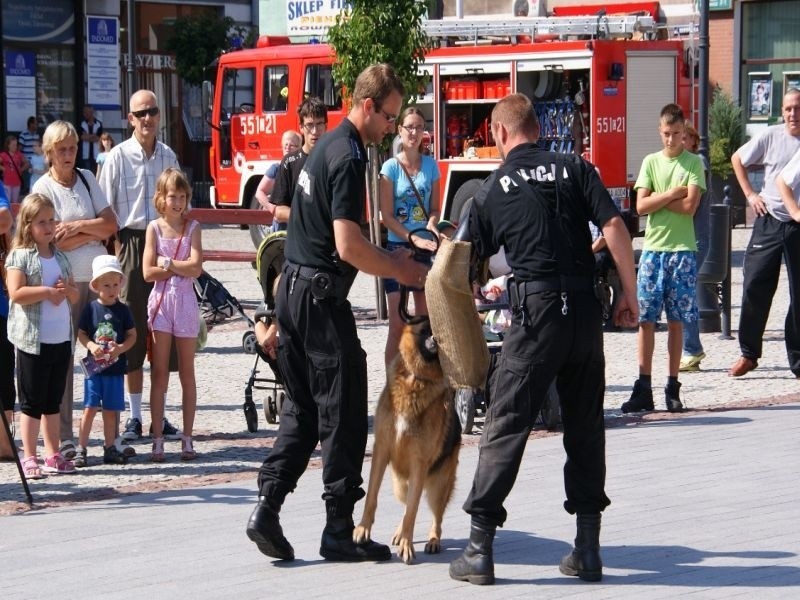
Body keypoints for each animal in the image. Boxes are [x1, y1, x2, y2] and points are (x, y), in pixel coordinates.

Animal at [354, 318, 460, 564]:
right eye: (426, 329)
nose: (436, 339)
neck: (416, 379)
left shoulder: (419, 463)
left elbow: (413, 511)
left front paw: (407, 545)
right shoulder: (381, 450)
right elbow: (371, 496)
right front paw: (363, 529)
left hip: (438, 486)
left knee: (435, 516)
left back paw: (432, 540)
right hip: (400, 485)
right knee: (406, 506)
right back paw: (399, 532)